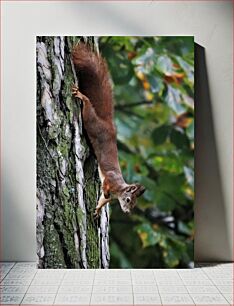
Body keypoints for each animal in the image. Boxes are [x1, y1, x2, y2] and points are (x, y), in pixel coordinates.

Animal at [71, 42, 144, 218]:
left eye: (134, 204)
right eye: (128, 200)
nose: (127, 212)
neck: (119, 190)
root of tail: (108, 123)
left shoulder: (111, 197)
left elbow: (103, 201)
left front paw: (97, 210)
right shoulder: (111, 180)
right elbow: (105, 185)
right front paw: (103, 193)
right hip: (92, 123)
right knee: (88, 109)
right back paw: (82, 97)